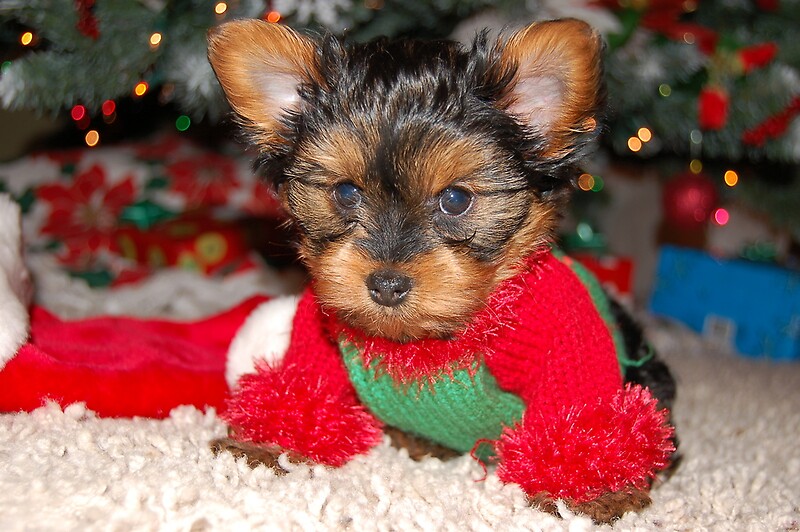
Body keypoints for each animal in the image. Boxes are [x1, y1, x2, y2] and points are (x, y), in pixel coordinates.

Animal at [206, 16, 676, 524]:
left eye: (455, 199)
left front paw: (593, 488)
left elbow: (577, 396)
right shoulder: (319, 323)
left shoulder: (559, 317)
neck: (424, 338)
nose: (386, 284)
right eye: (346, 193)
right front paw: (265, 444)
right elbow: (304, 387)